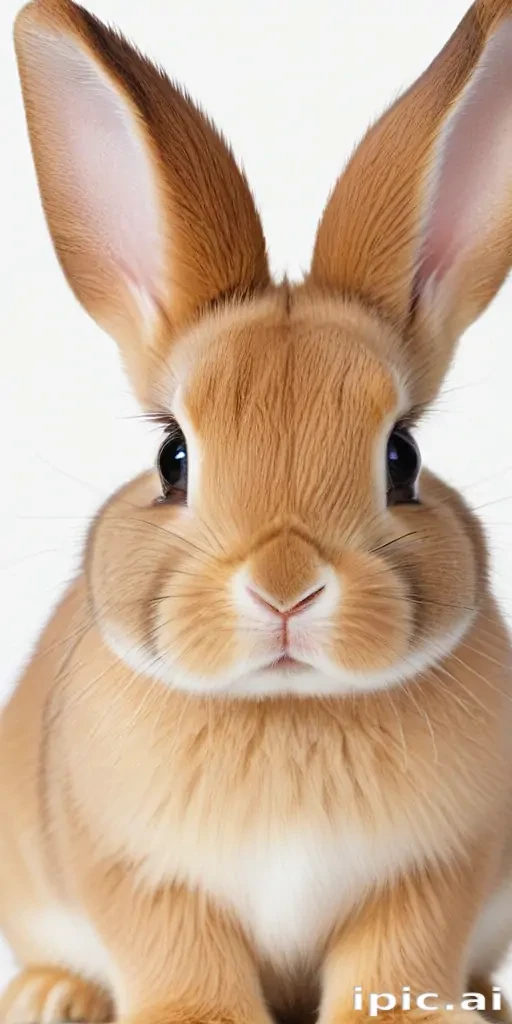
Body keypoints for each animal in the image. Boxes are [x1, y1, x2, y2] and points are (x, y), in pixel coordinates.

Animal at [2, 0, 512, 1021]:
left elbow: (391, 967)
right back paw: (49, 995)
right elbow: (184, 963)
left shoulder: (433, 875)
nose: (285, 589)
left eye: (403, 458)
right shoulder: (140, 877)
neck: (287, 709)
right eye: (172, 458)